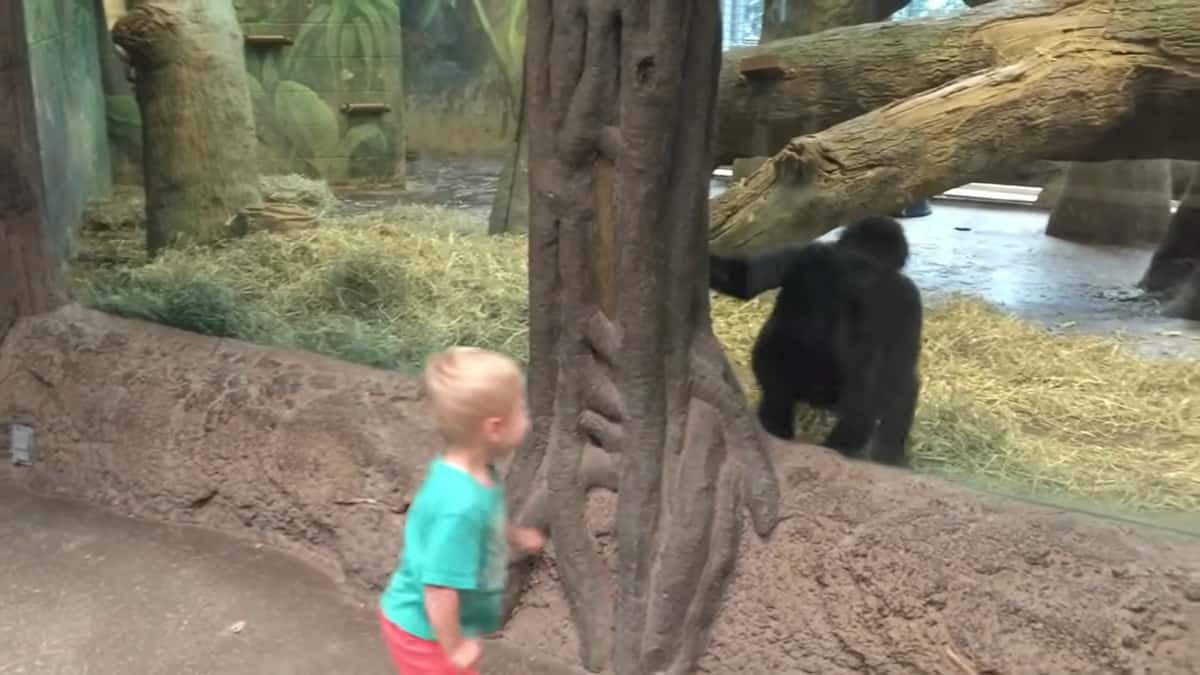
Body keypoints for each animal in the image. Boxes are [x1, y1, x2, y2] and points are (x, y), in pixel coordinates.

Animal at [705, 214, 921, 461]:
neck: (861, 257)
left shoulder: (801, 251)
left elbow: (742, 279)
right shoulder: (907, 294)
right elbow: (901, 367)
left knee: (777, 397)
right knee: (902, 383)